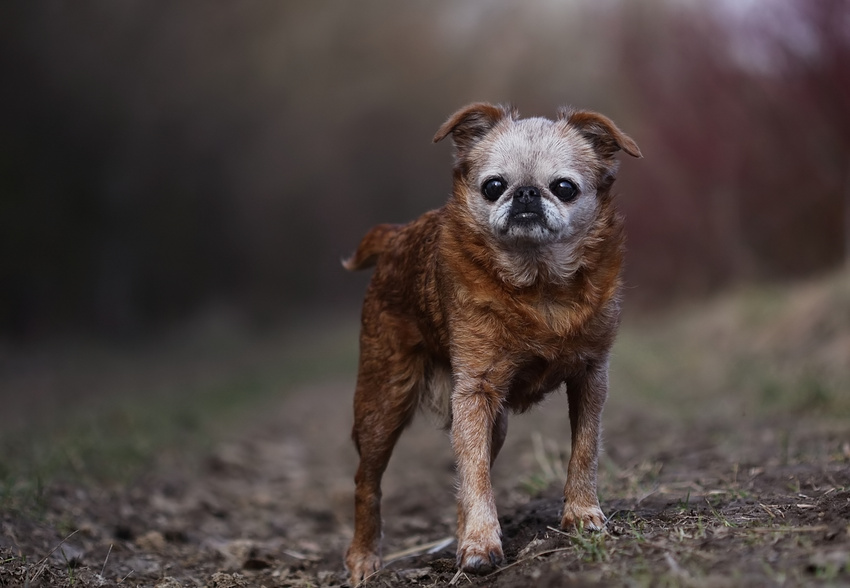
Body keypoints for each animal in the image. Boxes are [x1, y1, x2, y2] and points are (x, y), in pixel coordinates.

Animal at [342, 102, 640, 584]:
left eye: (564, 188)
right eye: (494, 186)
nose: (526, 194)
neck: (539, 285)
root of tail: (396, 236)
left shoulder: (592, 377)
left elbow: (584, 449)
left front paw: (581, 513)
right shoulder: (474, 392)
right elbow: (475, 474)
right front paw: (481, 543)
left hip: (491, 423)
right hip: (382, 404)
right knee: (367, 482)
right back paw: (364, 557)